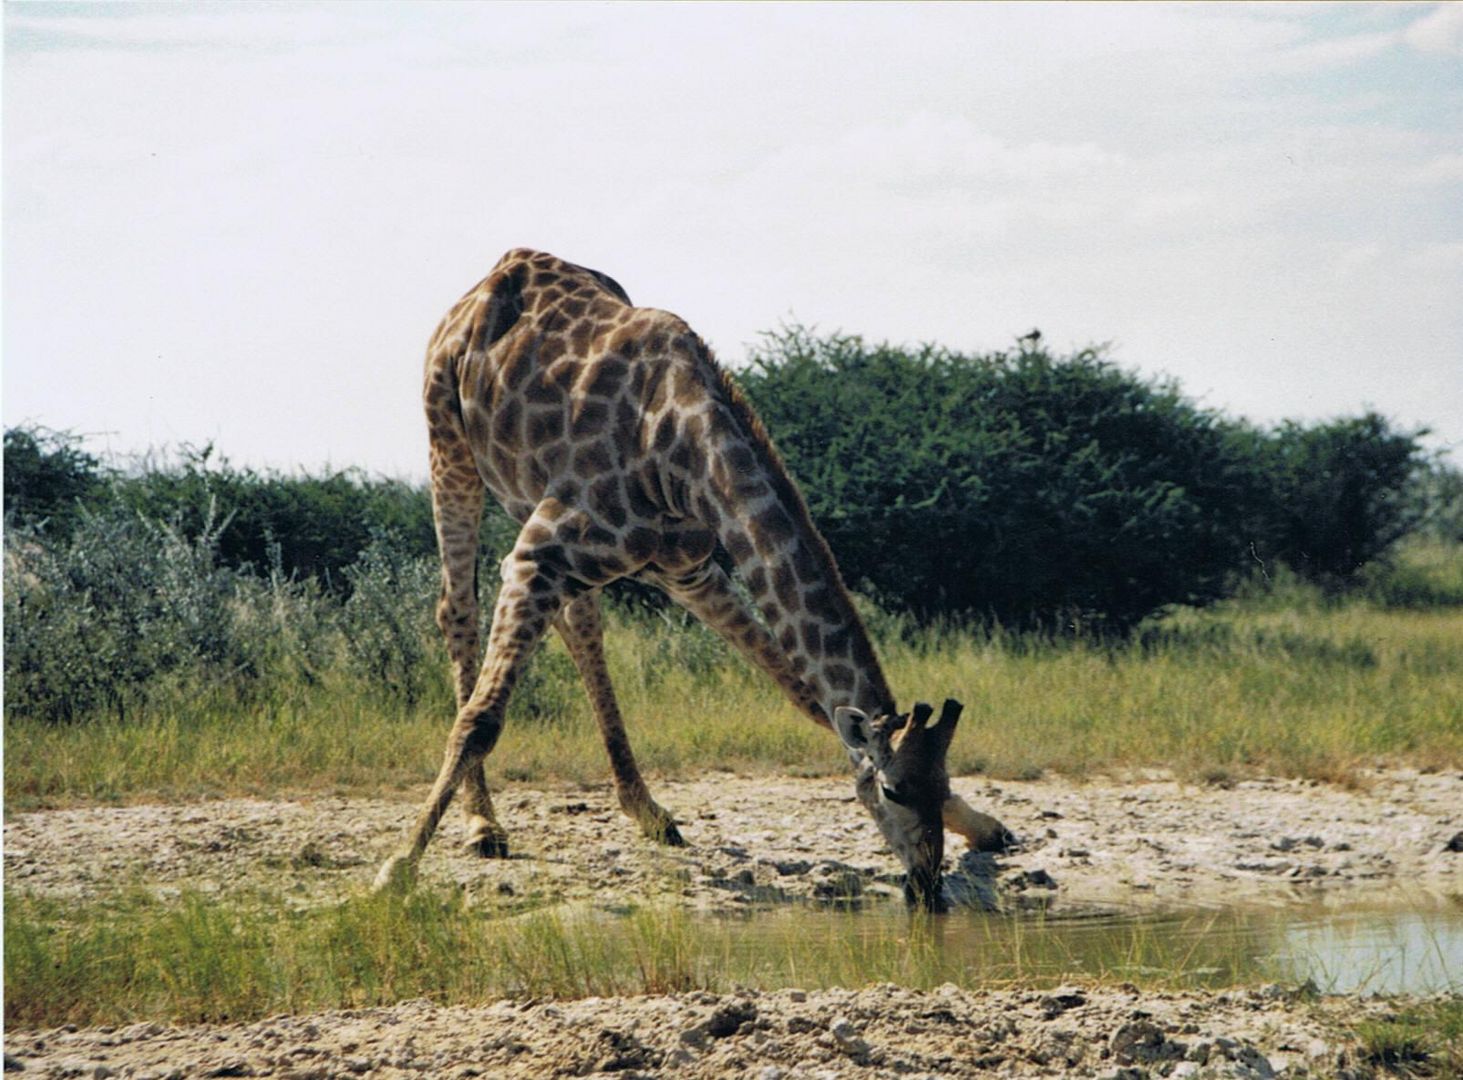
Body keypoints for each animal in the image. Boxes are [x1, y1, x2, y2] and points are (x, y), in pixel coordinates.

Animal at [374, 248, 1018, 907]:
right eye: (892, 791)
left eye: (941, 784)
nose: (927, 887)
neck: (680, 451)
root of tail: (490, 278)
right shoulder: (537, 557)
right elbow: (480, 721)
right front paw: (397, 868)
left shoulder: (688, 568)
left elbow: (805, 692)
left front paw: (984, 826)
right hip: (449, 446)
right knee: (457, 608)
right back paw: (483, 825)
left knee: (580, 624)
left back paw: (648, 811)